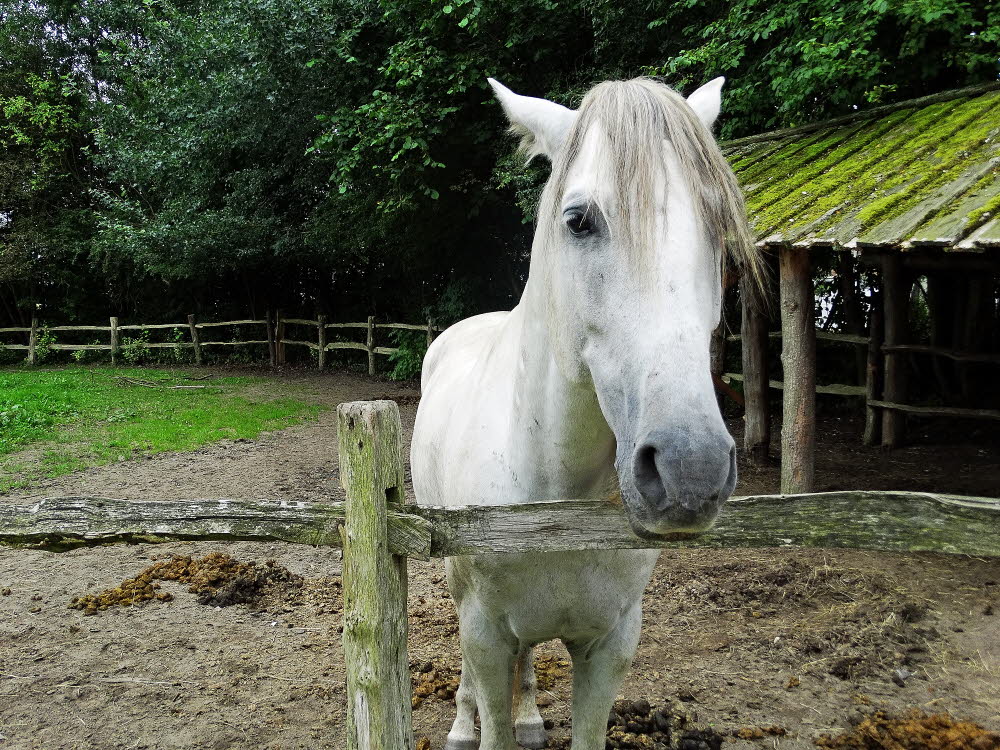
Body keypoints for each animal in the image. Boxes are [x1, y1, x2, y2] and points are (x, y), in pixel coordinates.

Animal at [410, 78, 760, 750]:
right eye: (578, 221)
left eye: (716, 226)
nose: (691, 469)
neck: (552, 492)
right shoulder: (485, 633)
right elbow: (486, 687)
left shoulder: (611, 644)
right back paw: (462, 724)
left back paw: (528, 716)